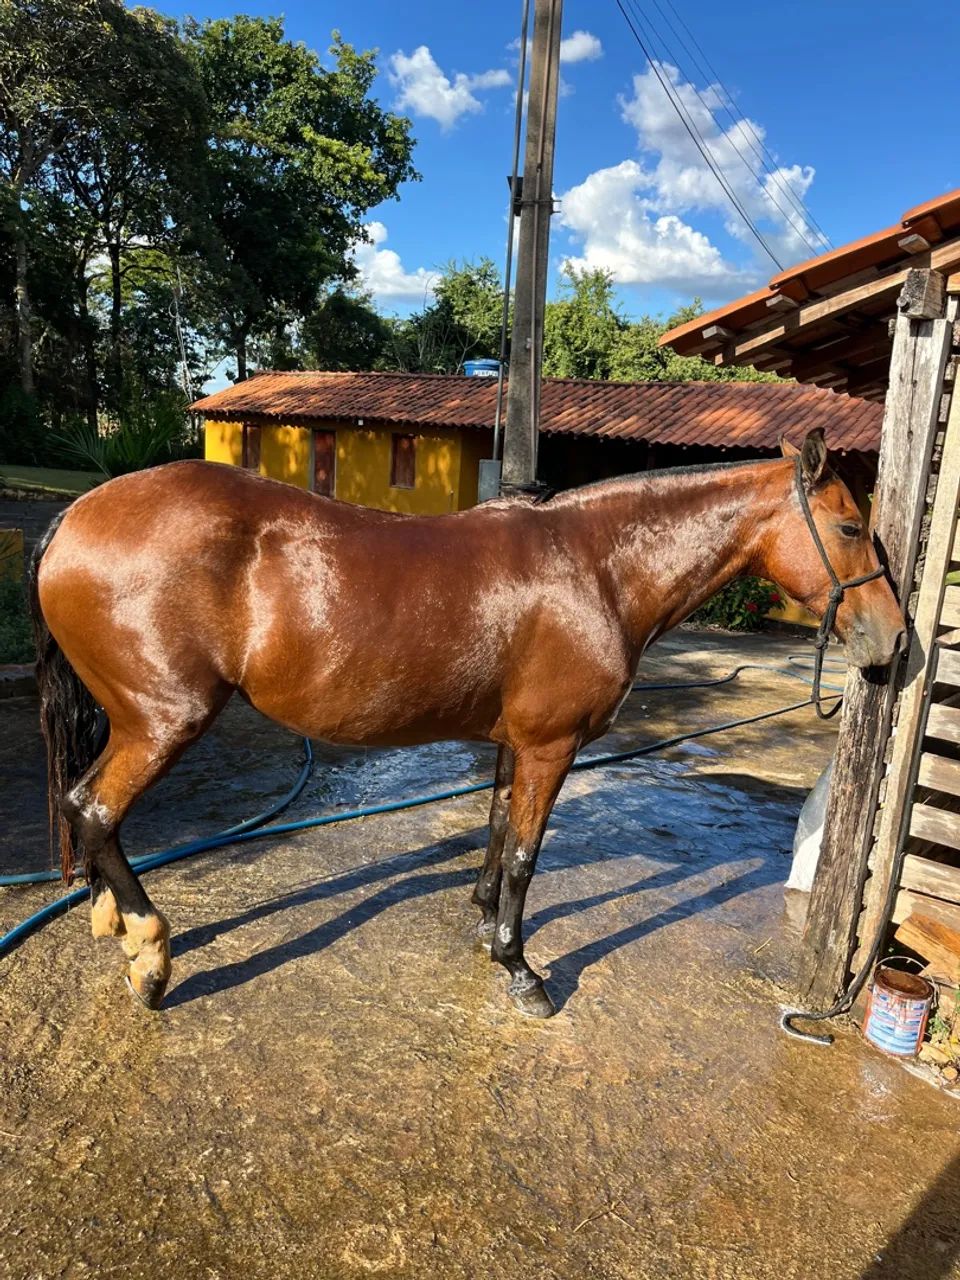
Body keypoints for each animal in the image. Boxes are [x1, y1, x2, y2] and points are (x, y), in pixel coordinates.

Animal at [28, 426, 904, 1017]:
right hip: (164, 722)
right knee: (95, 811)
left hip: (134, 721)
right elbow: (523, 855)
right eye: (852, 528)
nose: (897, 643)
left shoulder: (519, 744)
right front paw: (520, 969)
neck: (594, 567)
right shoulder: (551, 747)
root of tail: (75, 516)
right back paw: (150, 956)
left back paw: (113, 922)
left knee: (84, 809)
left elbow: (494, 830)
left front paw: (483, 922)